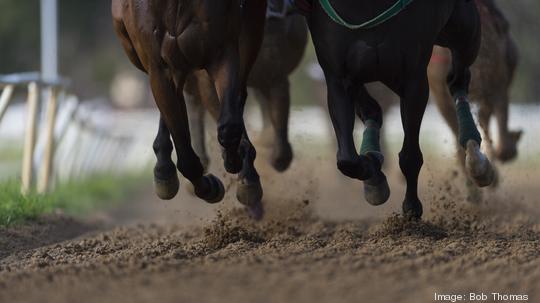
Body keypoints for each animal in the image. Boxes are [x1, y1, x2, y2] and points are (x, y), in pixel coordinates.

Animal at [112, 0, 268, 218]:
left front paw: (235, 161)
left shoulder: (222, 51)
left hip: (251, 29)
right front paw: (210, 186)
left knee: (238, 95)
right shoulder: (159, 68)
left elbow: (229, 125)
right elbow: (186, 158)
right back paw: (164, 169)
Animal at [304, 0, 494, 220]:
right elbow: (347, 159)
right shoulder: (338, 77)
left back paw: (476, 159)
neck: (365, 6)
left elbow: (410, 155)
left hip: (464, 31)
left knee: (458, 79)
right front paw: (375, 176)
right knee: (372, 110)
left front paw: (411, 207)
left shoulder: (413, 78)